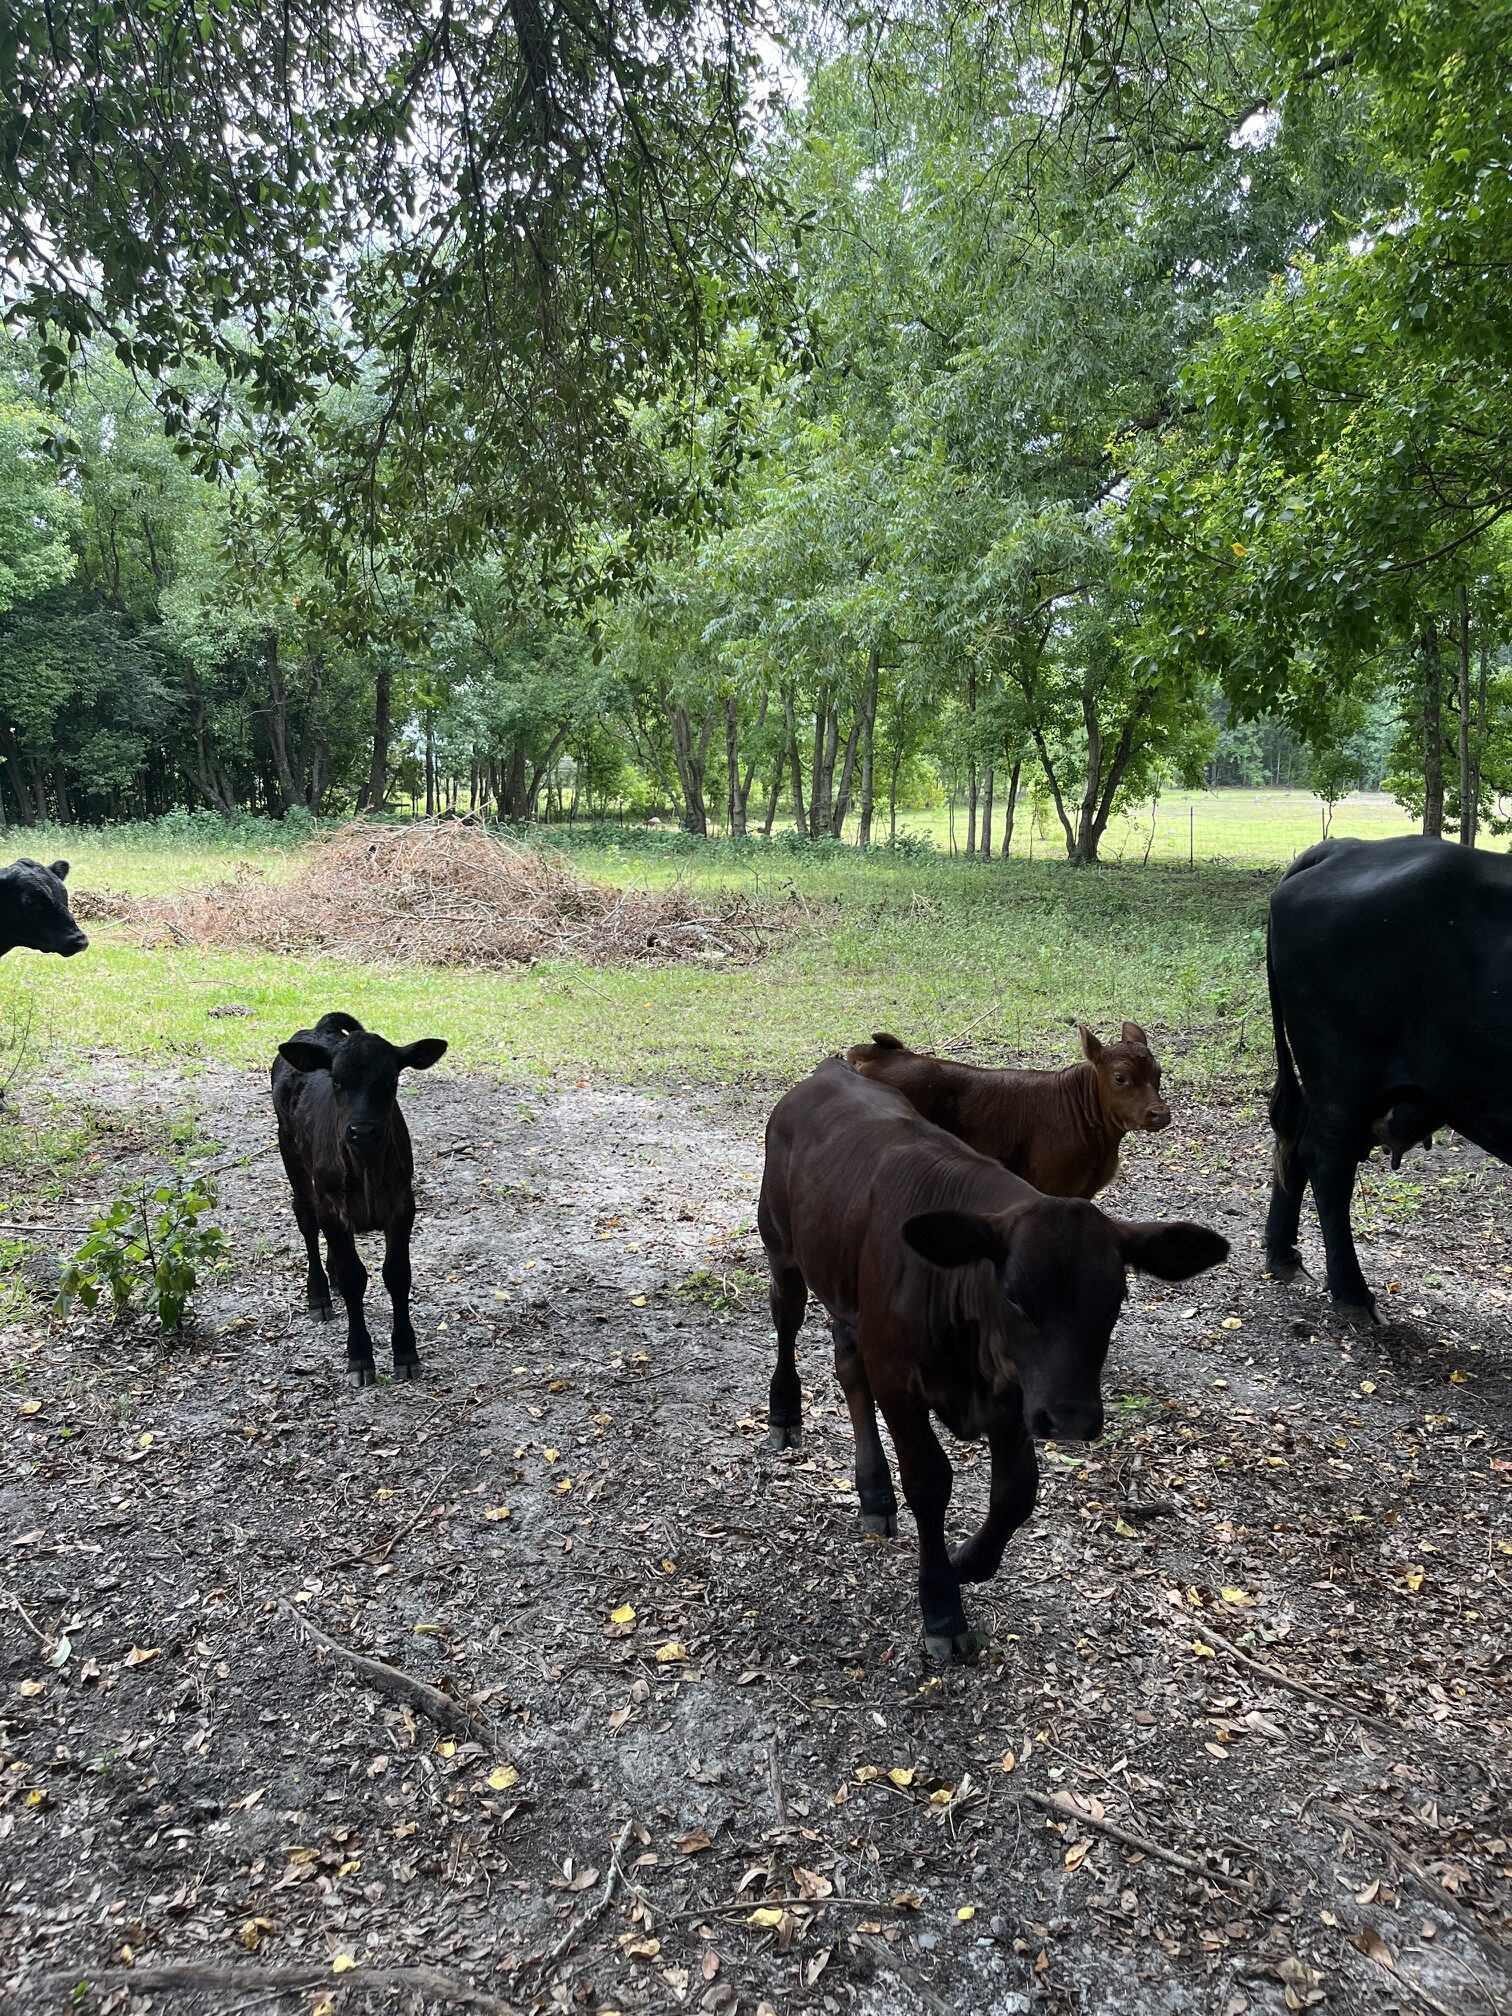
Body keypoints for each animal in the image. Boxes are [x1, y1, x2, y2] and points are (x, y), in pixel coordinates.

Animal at [272, 1012, 448, 1385]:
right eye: (337, 1081)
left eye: (391, 1079)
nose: (362, 1130)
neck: (366, 1169)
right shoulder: (332, 1204)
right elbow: (355, 1278)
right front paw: (360, 1357)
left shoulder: (402, 1204)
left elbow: (397, 1274)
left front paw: (405, 1354)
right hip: (289, 1148)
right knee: (306, 1217)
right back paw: (319, 1294)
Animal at [759, 1059, 1228, 1658]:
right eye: (1014, 1296)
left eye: (1117, 1298)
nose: (1072, 1417)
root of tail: (831, 1068)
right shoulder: (899, 1378)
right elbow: (929, 1481)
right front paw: (941, 1606)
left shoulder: (1019, 1394)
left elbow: (1017, 1491)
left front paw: (967, 1563)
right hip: (781, 1247)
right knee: (788, 1324)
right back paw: (785, 1414)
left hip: (847, 1289)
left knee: (847, 1365)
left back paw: (875, 1492)